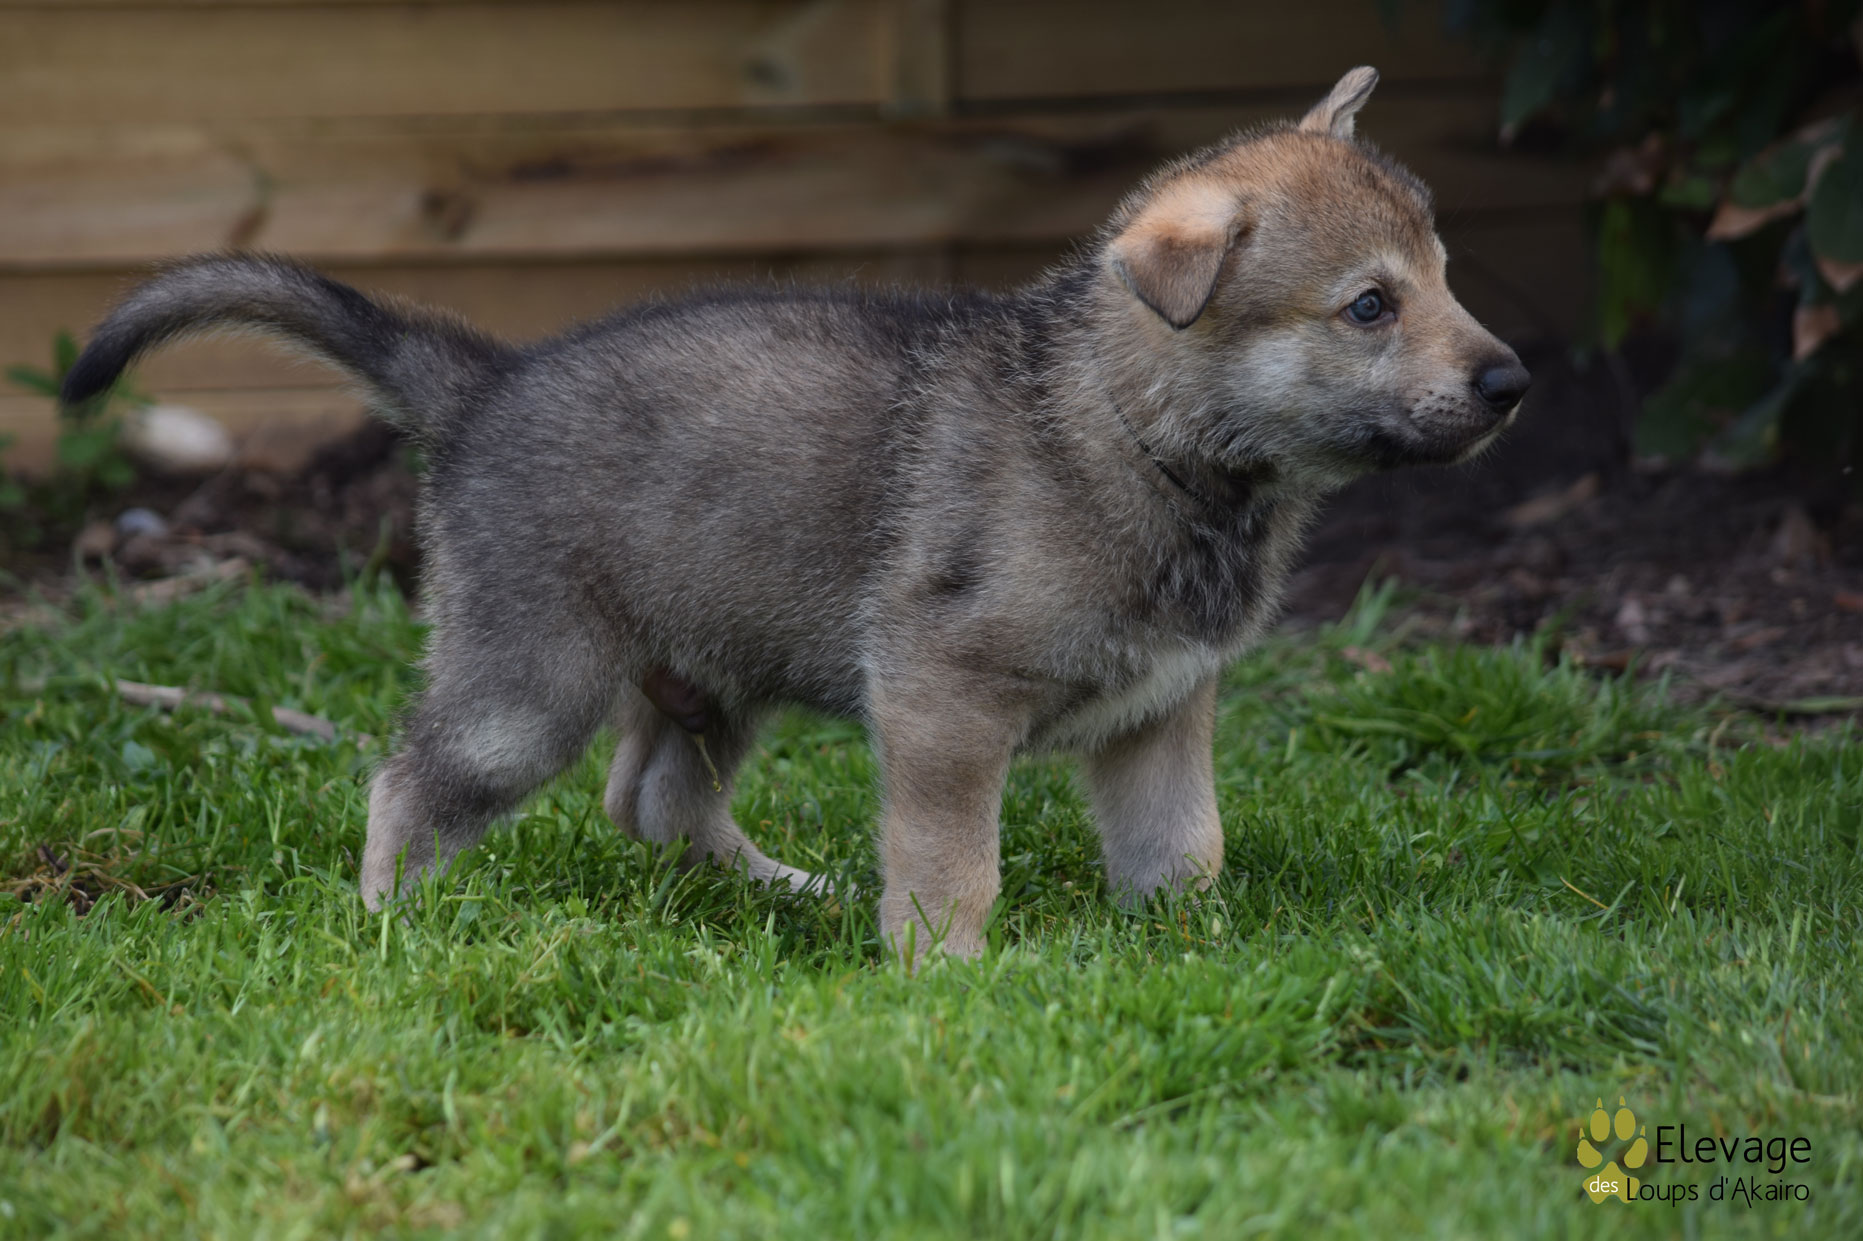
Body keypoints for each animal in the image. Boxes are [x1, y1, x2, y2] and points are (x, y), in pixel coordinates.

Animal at [63, 68, 1528, 962]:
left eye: (1450, 276)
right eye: (1369, 305)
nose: (1512, 381)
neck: (1142, 433)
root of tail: (487, 380)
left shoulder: (1162, 711)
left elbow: (1186, 851)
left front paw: (1195, 957)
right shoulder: (943, 695)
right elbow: (954, 861)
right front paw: (947, 977)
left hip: (713, 671)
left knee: (652, 800)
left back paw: (795, 892)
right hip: (527, 684)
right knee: (408, 781)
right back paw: (387, 933)